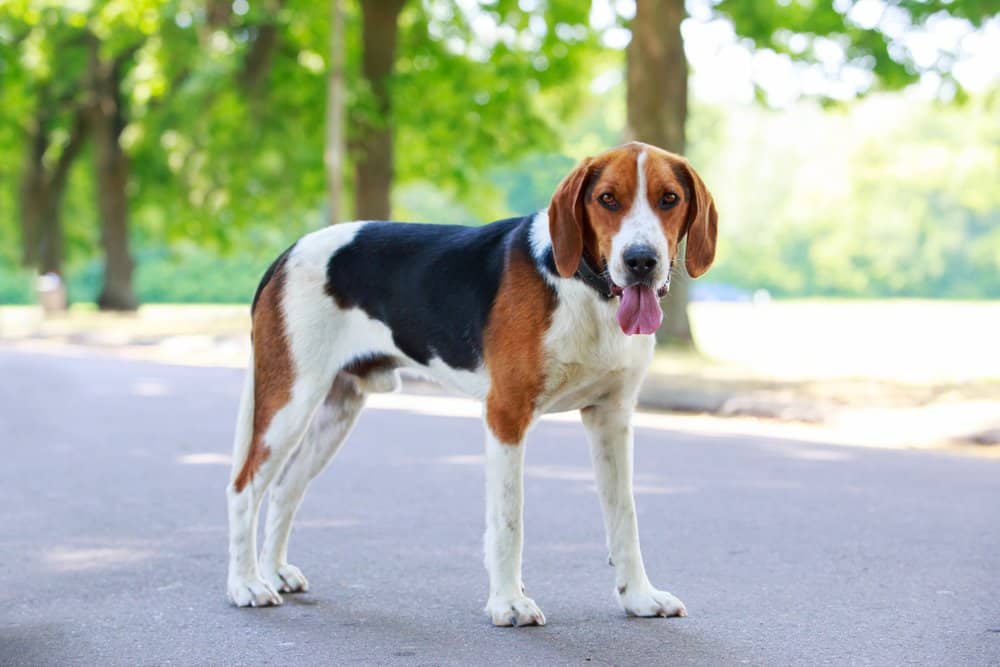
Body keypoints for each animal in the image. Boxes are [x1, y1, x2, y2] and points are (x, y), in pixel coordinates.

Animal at [224, 141, 716, 628]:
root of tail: (288, 252)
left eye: (669, 199)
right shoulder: (506, 415)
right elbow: (508, 520)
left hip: (336, 411)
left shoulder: (611, 418)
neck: (587, 291)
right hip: (289, 403)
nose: (641, 261)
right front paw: (508, 603)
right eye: (608, 199)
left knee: (285, 488)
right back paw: (246, 584)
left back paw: (275, 571)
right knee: (244, 488)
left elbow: (624, 518)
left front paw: (638, 597)